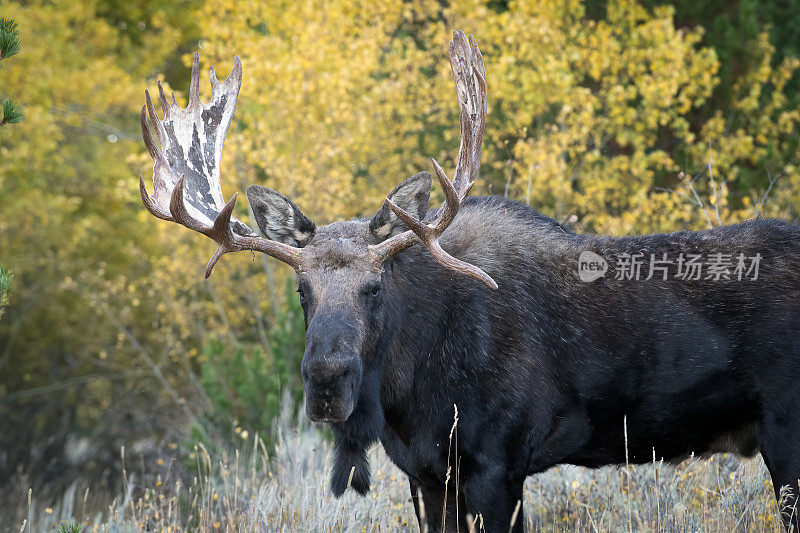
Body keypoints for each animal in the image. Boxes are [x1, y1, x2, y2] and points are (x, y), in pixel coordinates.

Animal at [139, 32, 800, 528]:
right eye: (302, 292)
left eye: (375, 288)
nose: (326, 380)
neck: (409, 393)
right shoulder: (429, 475)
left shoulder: (497, 466)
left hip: (786, 430)